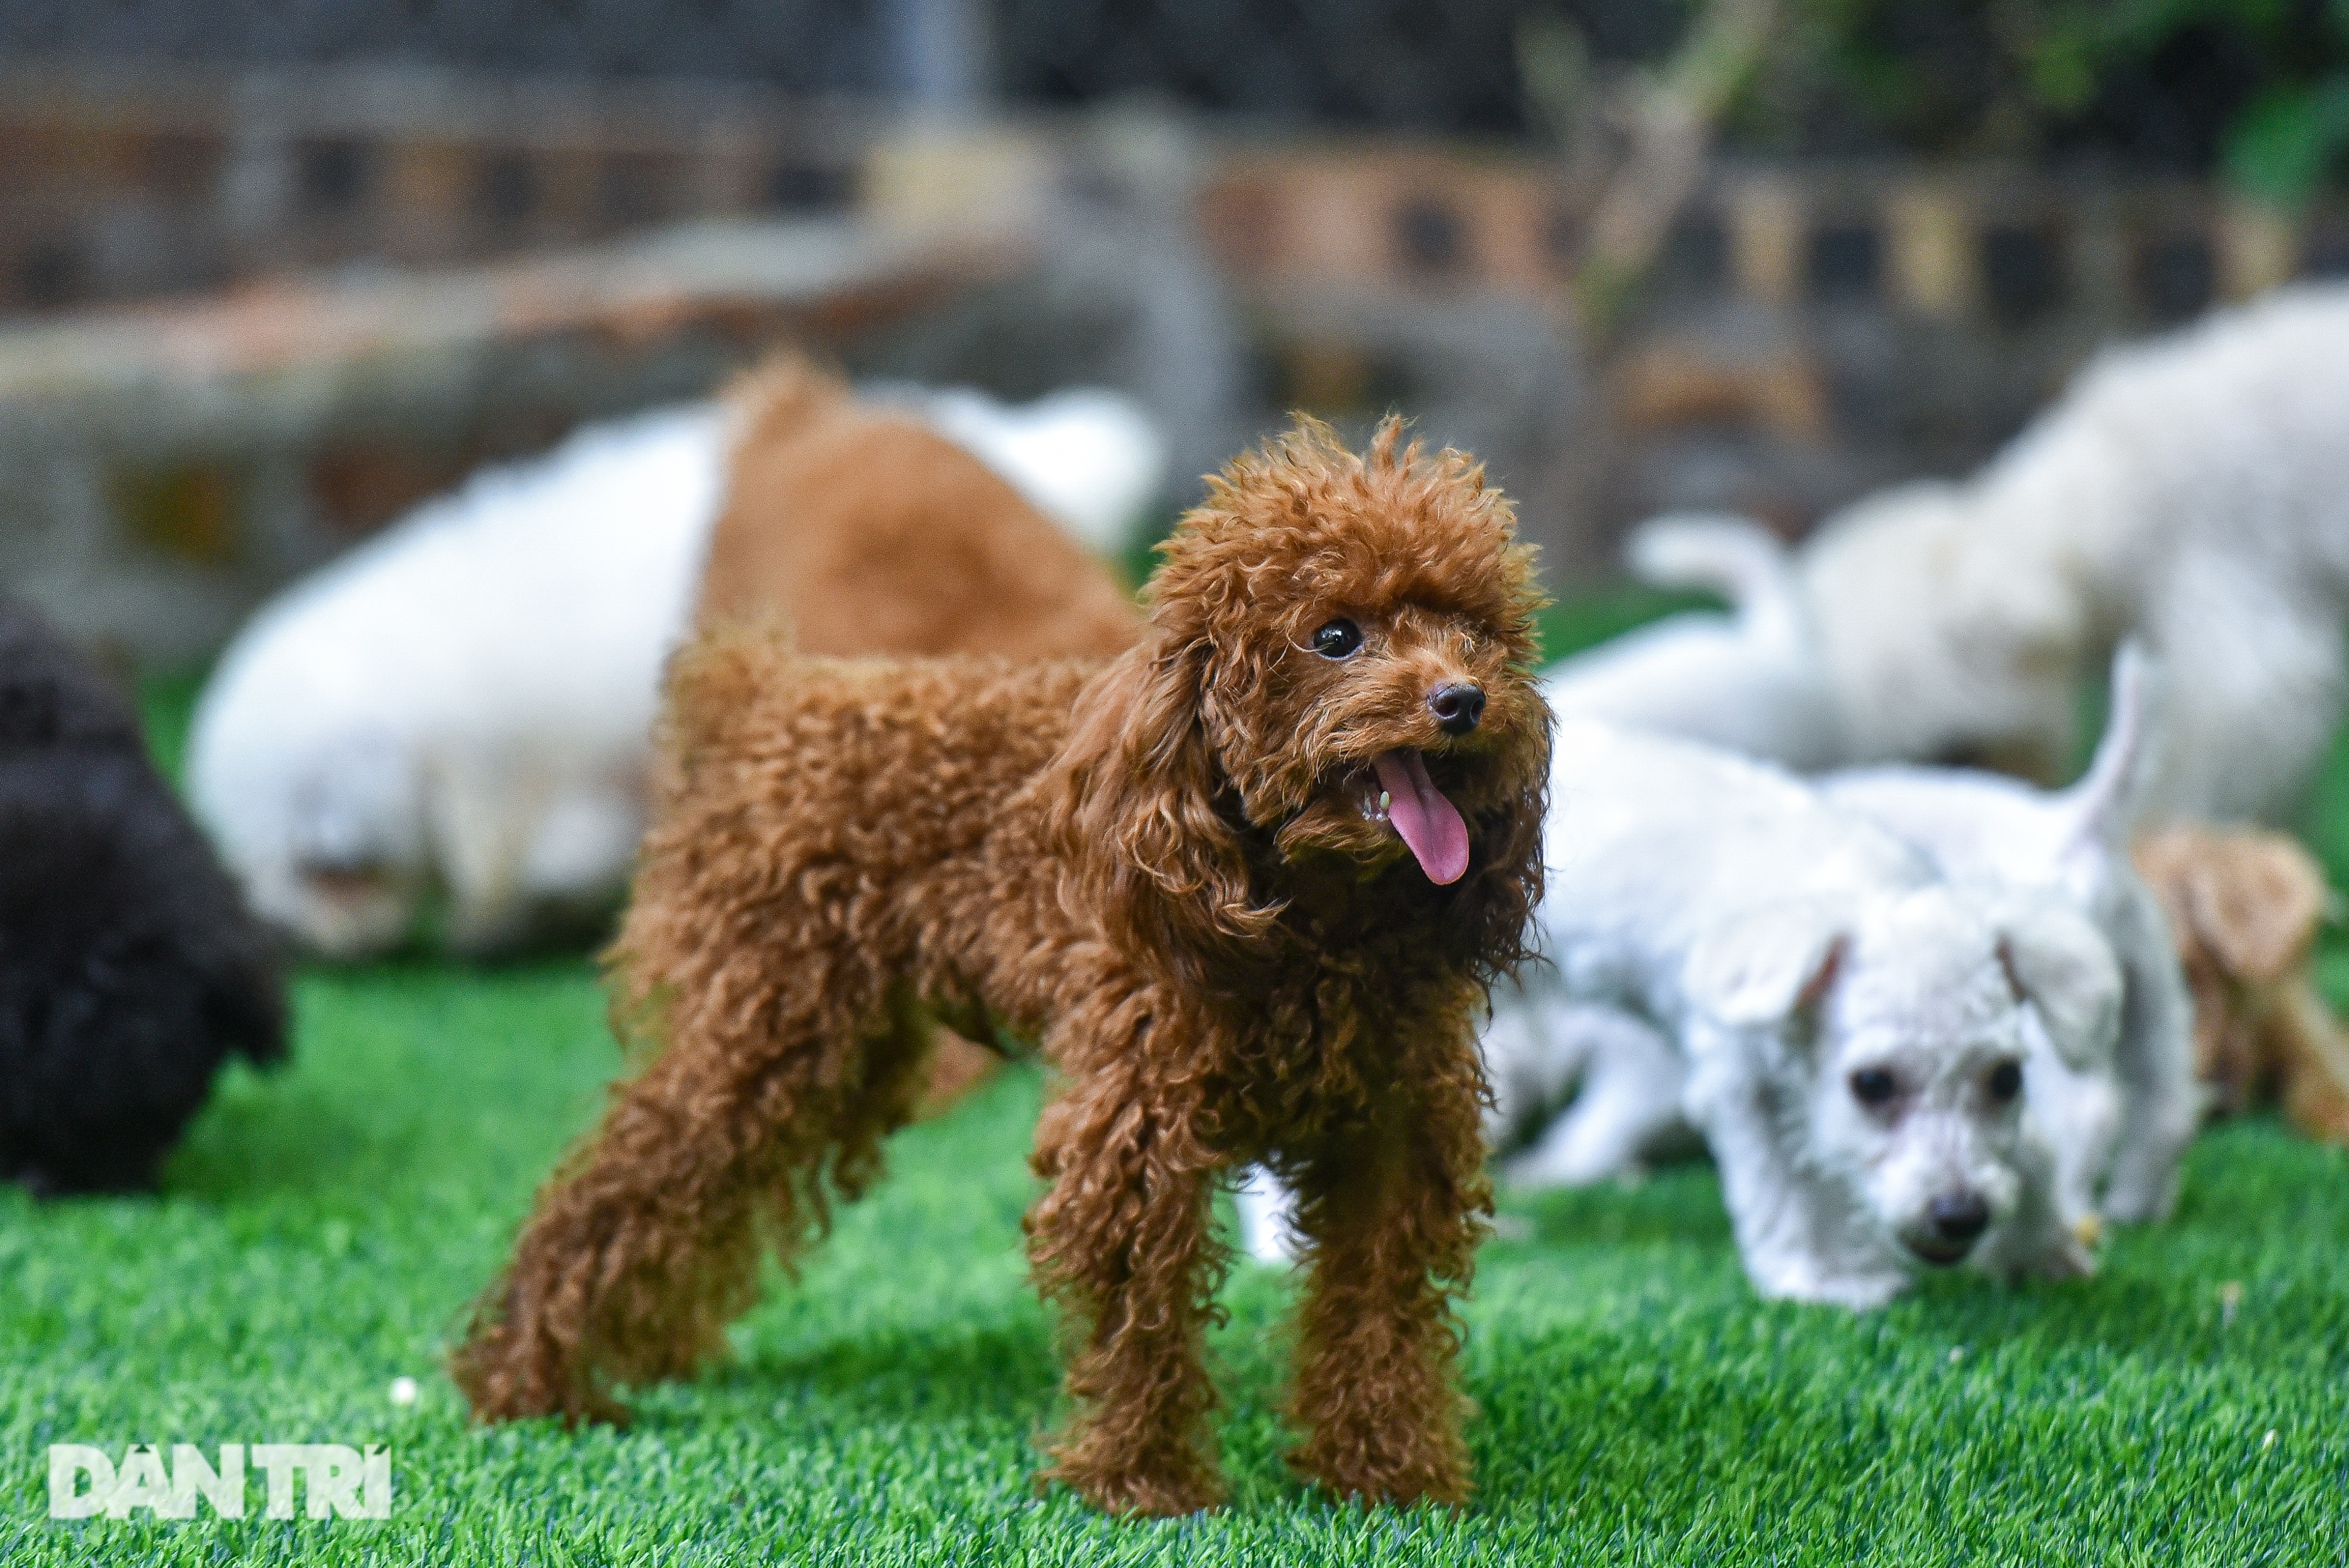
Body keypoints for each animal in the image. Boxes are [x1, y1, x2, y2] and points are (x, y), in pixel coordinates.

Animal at [1240, 724, 2123, 1316]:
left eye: (2006, 1079)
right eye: (1871, 1085)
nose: (1959, 1214)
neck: (1847, 888)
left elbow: (2034, 1149)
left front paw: (2039, 1243)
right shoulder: (1737, 1079)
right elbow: (1779, 1190)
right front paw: (1819, 1278)